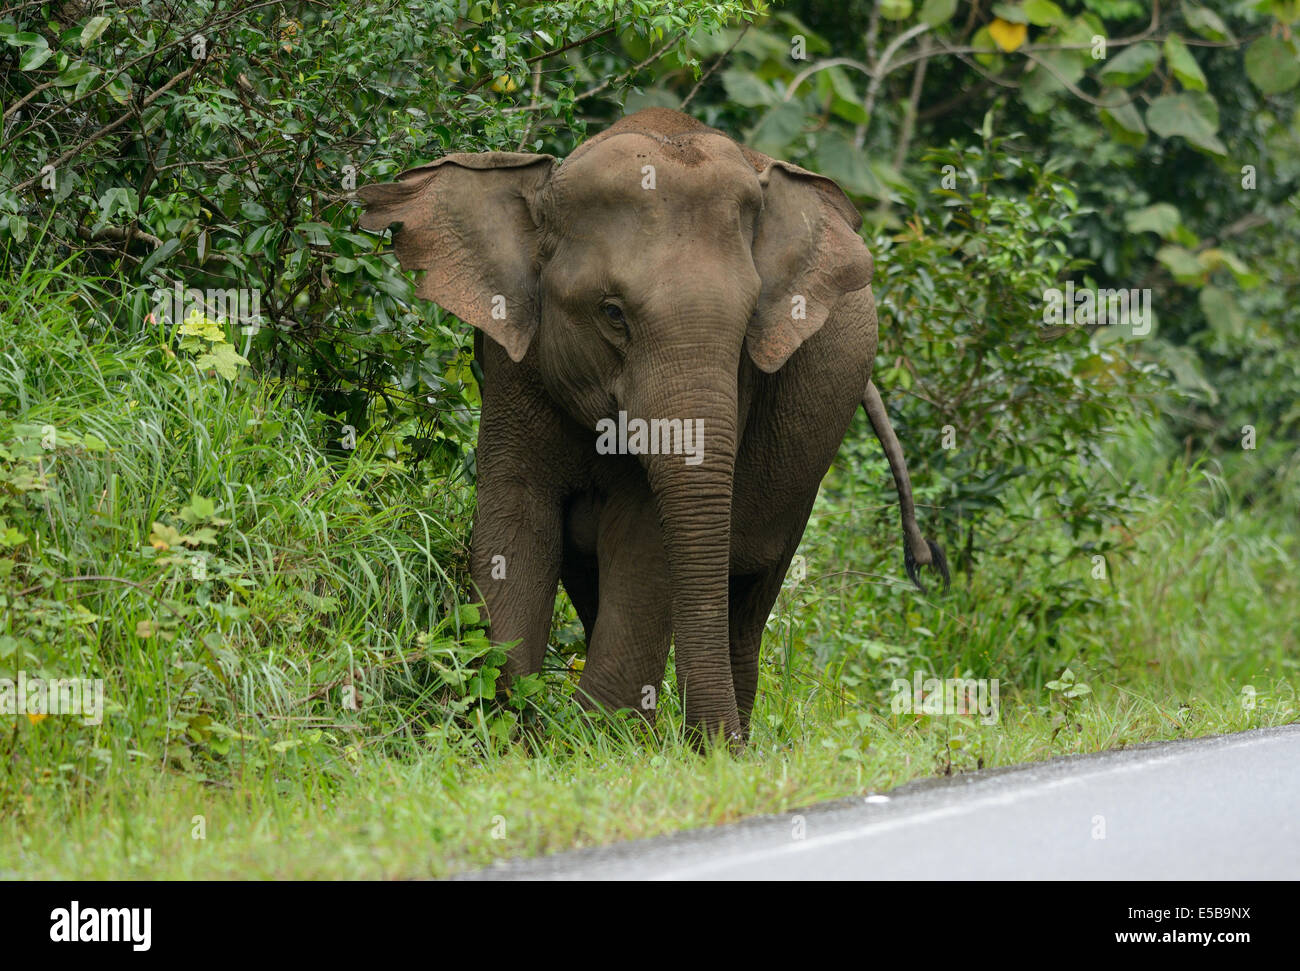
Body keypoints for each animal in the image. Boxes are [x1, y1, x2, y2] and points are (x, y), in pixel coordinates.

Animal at [358, 107, 947, 747]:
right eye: (612, 314)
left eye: (751, 321)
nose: (710, 748)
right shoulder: (511, 366)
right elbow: (514, 524)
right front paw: (508, 729)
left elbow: (645, 541)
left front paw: (597, 739)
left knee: (749, 595)